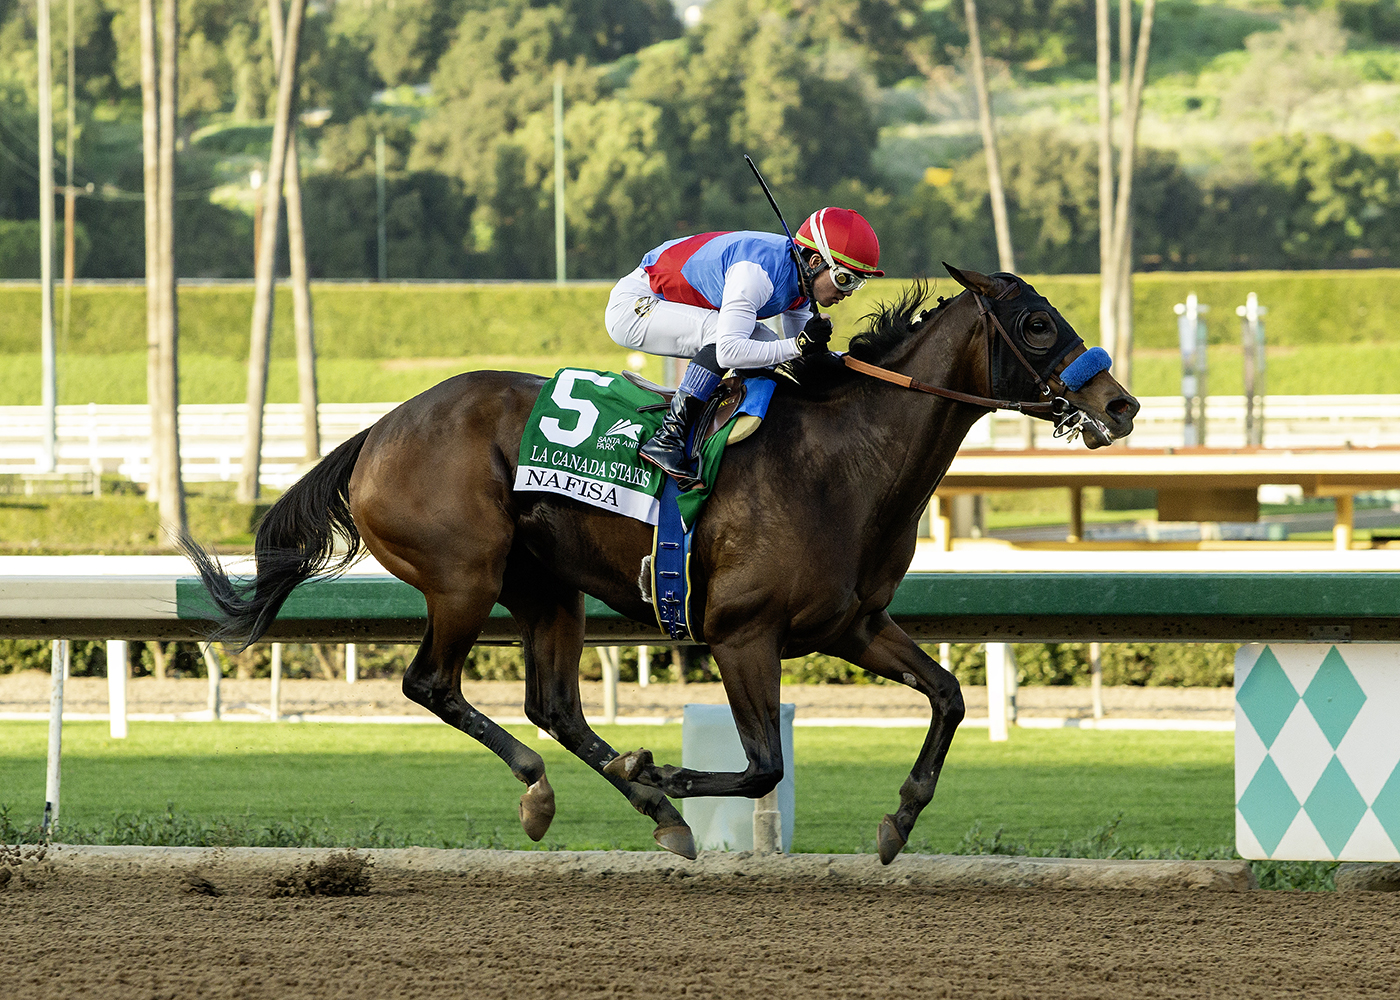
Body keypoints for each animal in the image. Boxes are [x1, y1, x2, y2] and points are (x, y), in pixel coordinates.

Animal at [184, 265, 1139, 864]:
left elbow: (949, 695)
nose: (1122, 403)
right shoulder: (741, 636)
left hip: (547, 587)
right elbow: (764, 764)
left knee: (554, 705)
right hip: (465, 576)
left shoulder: (854, 625)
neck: (843, 460)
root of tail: (378, 430)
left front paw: (898, 820)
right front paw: (666, 770)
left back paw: (648, 811)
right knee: (434, 684)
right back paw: (561, 790)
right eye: (1038, 324)